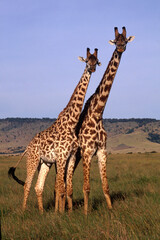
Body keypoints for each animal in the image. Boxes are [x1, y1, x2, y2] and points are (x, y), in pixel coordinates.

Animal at [8, 47, 100, 213]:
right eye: (86, 61)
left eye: (96, 61)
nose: (92, 68)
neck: (72, 122)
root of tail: (27, 147)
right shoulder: (62, 157)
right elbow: (61, 188)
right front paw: (61, 213)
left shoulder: (71, 156)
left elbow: (68, 188)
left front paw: (68, 212)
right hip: (33, 160)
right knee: (27, 185)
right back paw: (24, 211)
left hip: (45, 163)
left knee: (38, 187)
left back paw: (42, 212)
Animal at [65, 26, 134, 214]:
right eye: (115, 40)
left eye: (125, 41)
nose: (120, 48)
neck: (98, 112)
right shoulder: (87, 151)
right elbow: (87, 187)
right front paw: (86, 213)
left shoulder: (102, 151)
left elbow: (106, 186)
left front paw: (111, 210)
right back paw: (67, 210)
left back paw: (68, 208)